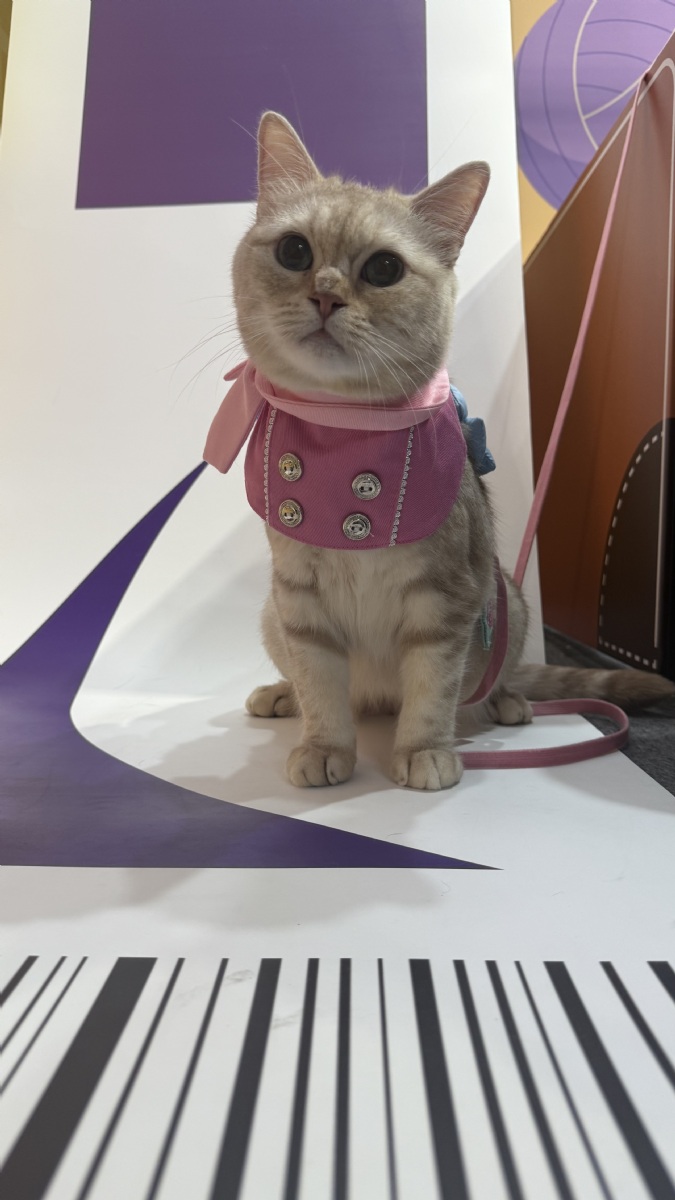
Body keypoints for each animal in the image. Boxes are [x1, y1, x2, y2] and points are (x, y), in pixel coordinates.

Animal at [213, 111, 674, 791]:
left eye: (383, 269)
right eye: (294, 251)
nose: (325, 294)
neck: (344, 433)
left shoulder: (446, 600)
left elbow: (433, 688)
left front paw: (424, 749)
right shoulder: (300, 602)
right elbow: (321, 685)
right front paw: (324, 743)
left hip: (506, 601)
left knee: (496, 677)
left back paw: (506, 701)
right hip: (275, 615)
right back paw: (281, 693)